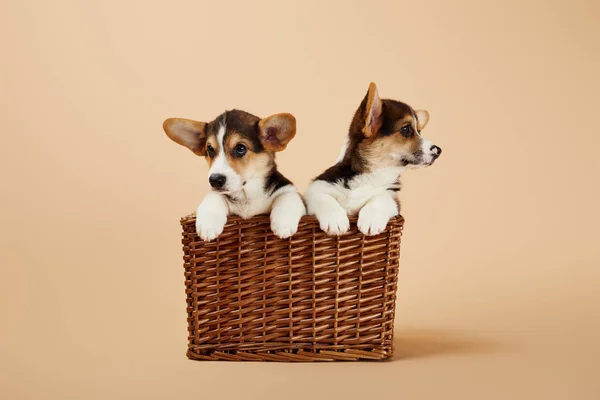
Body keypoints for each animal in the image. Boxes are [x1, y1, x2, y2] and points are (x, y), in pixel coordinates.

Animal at [163, 108, 304, 241]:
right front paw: (208, 225)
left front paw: (283, 225)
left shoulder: (287, 189)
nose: (214, 180)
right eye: (210, 149)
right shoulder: (218, 195)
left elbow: (288, 197)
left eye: (241, 148)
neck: (246, 195)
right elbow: (213, 196)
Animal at [304, 83, 440, 236]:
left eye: (419, 131)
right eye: (406, 129)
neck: (374, 172)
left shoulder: (393, 199)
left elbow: (382, 198)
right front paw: (336, 220)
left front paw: (371, 220)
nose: (439, 151)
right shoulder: (316, 187)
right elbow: (323, 197)